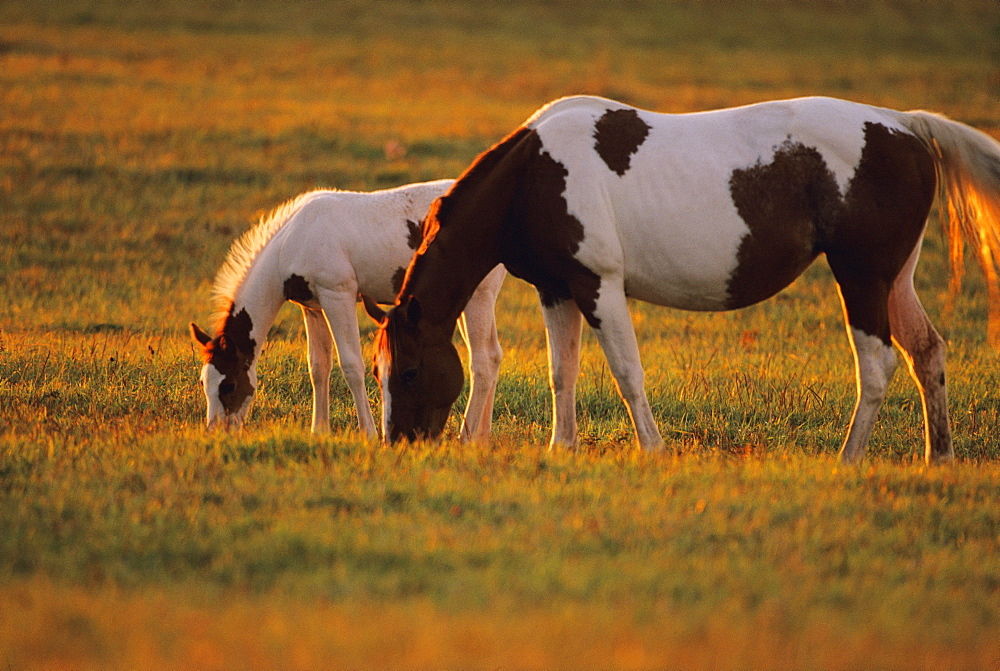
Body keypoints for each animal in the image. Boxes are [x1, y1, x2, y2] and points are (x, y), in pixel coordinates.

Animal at [190, 180, 508, 440]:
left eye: (228, 385)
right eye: (204, 382)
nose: (216, 432)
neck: (294, 239)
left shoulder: (337, 294)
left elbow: (351, 365)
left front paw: (368, 433)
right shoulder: (313, 307)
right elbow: (318, 366)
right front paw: (319, 431)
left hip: (478, 296)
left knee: (481, 361)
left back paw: (467, 437)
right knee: (493, 356)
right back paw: (482, 437)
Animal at [372, 96, 1000, 462]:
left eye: (407, 371)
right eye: (377, 373)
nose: (398, 444)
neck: (533, 174)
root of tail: (905, 127)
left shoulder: (598, 285)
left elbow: (627, 373)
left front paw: (652, 450)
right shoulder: (558, 290)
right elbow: (561, 373)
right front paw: (561, 447)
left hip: (861, 278)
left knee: (878, 365)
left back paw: (849, 459)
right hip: (894, 281)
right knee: (927, 353)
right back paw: (938, 458)